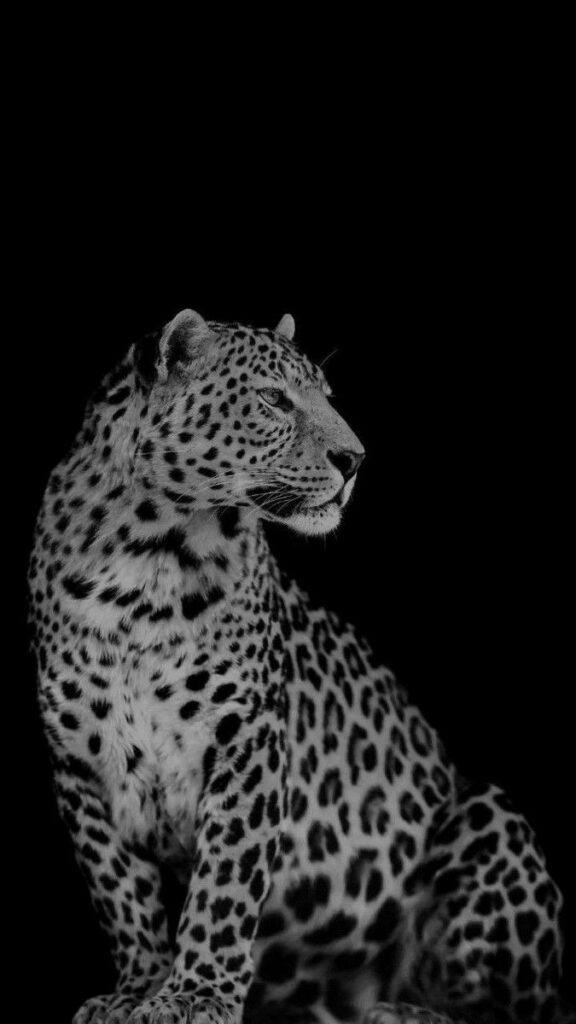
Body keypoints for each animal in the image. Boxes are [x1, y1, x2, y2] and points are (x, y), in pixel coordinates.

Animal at [28, 308, 574, 1024]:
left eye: (327, 398)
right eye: (272, 399)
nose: (356, 459)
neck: (146, 557)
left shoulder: (247, 738)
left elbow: (224, 884)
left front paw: (197, 994)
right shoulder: (79, 766)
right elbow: (120, 893)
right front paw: (138, 990)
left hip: (489, 819)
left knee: (517, 1008)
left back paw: (405, 1011)